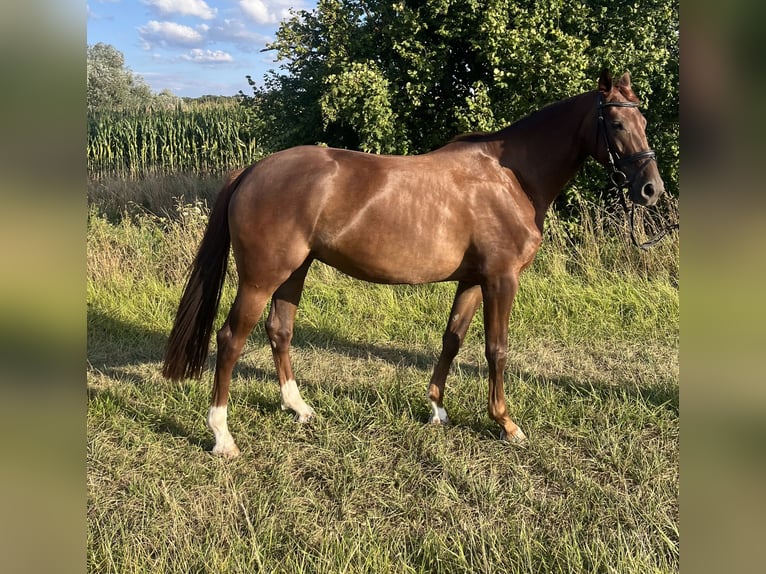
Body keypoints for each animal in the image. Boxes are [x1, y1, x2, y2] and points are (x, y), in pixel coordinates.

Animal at [162, 70, 665, 457]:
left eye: (643, 118)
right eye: (616, 122)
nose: (651, 189)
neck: (511, 178)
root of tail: (252, 170)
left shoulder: (472, 280)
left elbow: (452, 339)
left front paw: (437, 408)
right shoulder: (501, 279)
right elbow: (496, 349)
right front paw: (506, 424)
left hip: (294, 271)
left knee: (279, 330)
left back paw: (299, 408)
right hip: (261, 277)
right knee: (231, 340)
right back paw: (222, 437)